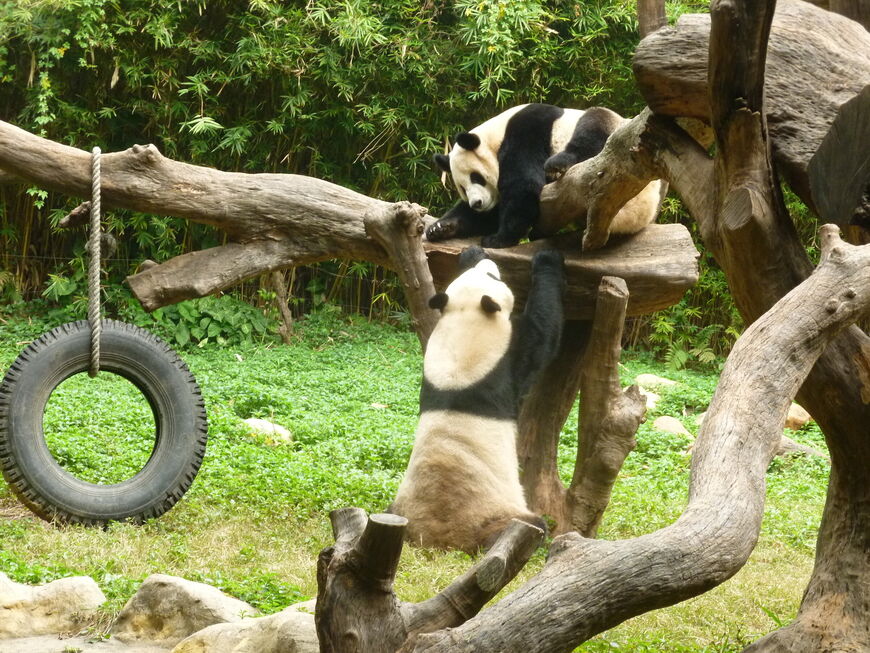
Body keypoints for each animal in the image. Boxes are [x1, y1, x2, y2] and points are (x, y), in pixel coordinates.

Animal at [390, 244, 564, 552]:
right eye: (493, 278)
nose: (489, 264)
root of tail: (439, 541)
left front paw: (470, 252)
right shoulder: (504, 362)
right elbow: (543, 336)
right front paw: (547, 258)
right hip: (493, 512)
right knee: (527, 527)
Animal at [430, 103, 668, 248]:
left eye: (476, 177)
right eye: (462, 188)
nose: (477, 203)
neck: (496, 134)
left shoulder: (527, 131)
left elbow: (522, 185)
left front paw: (498, 239)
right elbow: (488, 214)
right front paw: (440, 228)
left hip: (619, 136)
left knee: (594, 124)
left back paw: (557, 166)